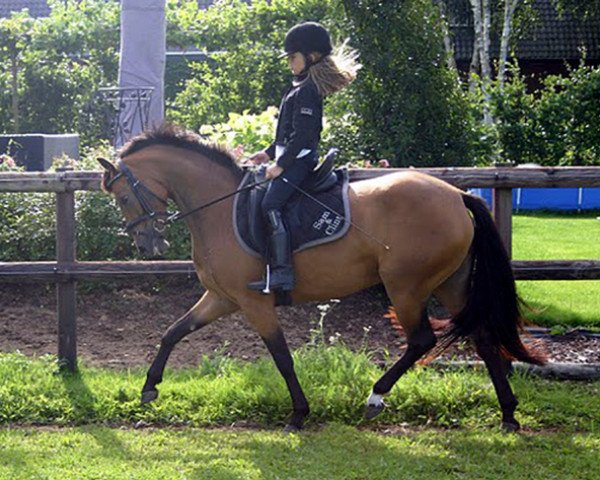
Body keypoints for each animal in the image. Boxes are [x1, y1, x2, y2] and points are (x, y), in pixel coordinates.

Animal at [97, 124, 544, 432]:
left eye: (123, 197)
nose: (148, 244)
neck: (219, 209)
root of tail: (457, 195)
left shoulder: (254, 303)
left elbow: (281, 356)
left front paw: (298, 413)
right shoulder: (221, 297)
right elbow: (173, 332)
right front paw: (149, 388)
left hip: (406, 286)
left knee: (421, 340)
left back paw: (375, 396)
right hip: (449, 284)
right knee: (483, 338)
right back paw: (508, 414)